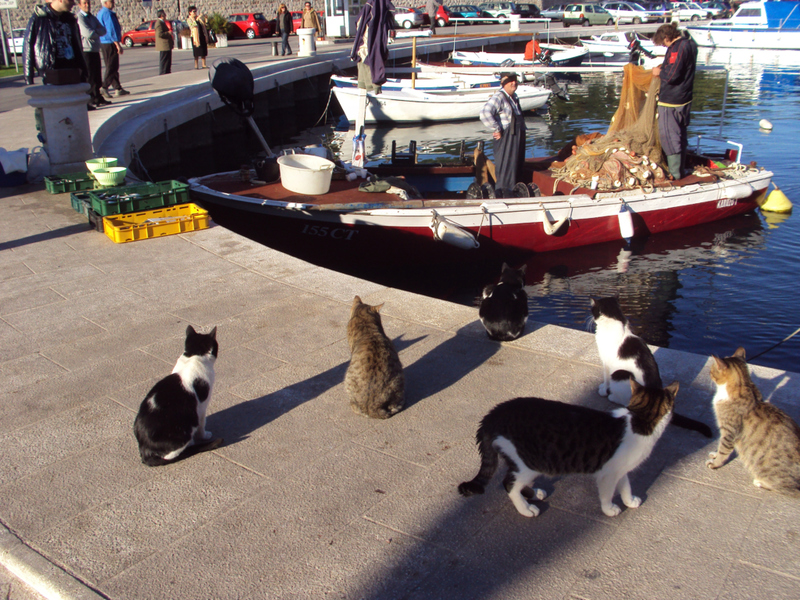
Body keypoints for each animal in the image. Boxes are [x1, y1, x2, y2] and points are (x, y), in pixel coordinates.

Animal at [134, 326, 222, 466]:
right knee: (170, 455)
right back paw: (190, 446)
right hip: (184, 428)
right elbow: (202, 424)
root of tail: (144, 449)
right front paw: (204, 436)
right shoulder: (202, 406)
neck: (193, 356)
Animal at [460, 380, 680, 516]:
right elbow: (608, 493)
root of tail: (493, 415)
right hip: (529, 462)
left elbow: (625, 485)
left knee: (515, 480)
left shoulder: (620, 469)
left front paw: (630, 500)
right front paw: (610, 509)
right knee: (509, 484)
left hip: (524, 462)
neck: (639, 419)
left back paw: (534, 493)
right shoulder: (608, 473)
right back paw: (526, 509)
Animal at [588, 298, 712, 438]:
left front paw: (604, 390)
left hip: (620, 374)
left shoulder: (606, 363)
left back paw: (612, 397)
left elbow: (606, 379)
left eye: (593, 310)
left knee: (626, 402)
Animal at [708, 346, 800, 496]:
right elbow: (719, 447)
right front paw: (715, 455)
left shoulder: (729, 432)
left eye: (712, 370)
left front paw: (715, 463)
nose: (709, 373)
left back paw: (761, 483)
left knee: (790, 491)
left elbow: (723, 450)